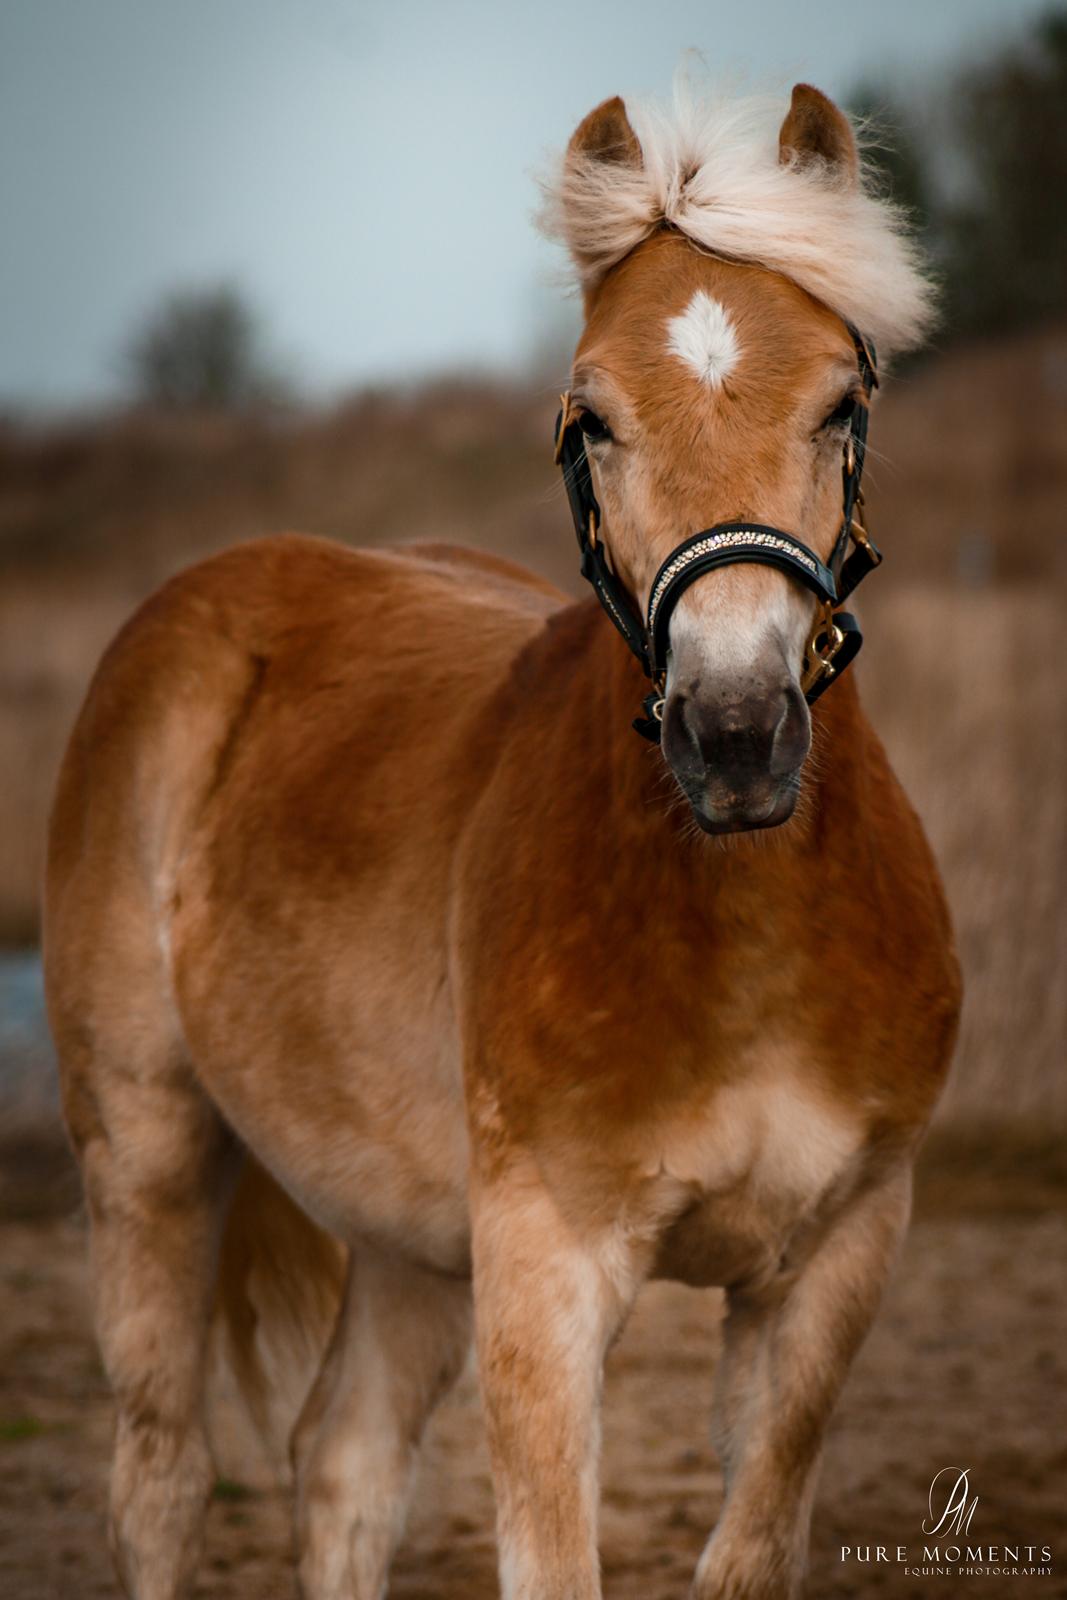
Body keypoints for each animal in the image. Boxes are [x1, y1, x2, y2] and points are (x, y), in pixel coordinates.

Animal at [41, 81, 966, 1600]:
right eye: (586, 420)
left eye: (841, 401)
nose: (731, 735)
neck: (745, 944)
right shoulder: (545, 1266)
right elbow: (549, 1555)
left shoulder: (834, 1257)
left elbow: (748, 1544)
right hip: (148, 1147)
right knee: (163, 1479)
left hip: (410, 1233)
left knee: (341, 1467)